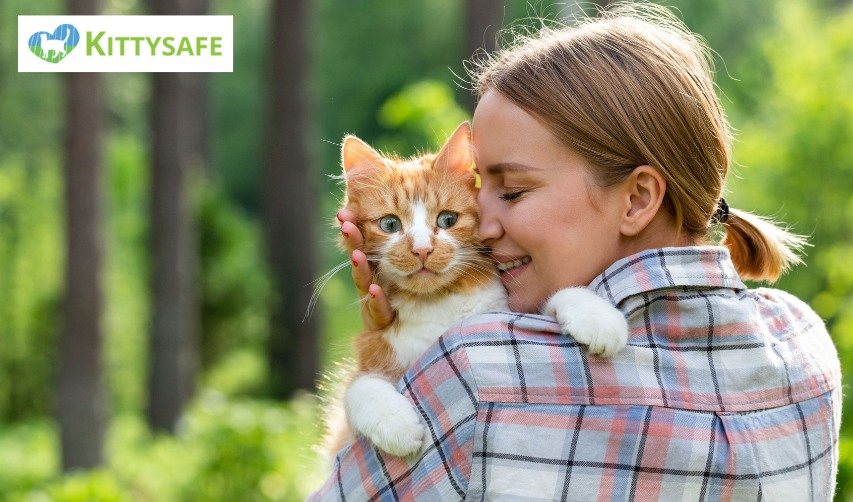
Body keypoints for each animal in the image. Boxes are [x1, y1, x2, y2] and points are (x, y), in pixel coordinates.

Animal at [322, 121, 628, 458]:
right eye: (389, 225)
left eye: (447, 219)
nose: (422, 249)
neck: (438, 304)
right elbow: (359, 388)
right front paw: (396, 424)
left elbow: (556, 297)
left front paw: (598, 318)